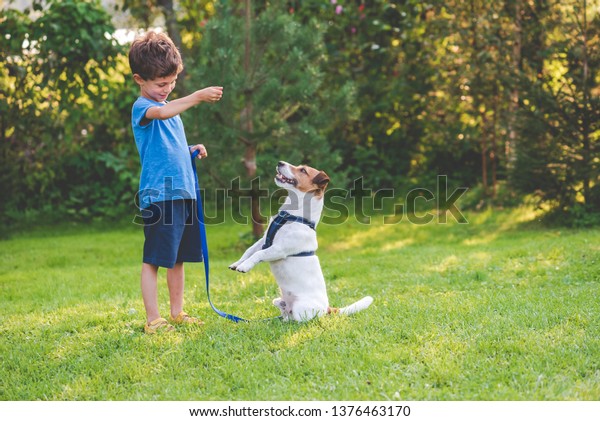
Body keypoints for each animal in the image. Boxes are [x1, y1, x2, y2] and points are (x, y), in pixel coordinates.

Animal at [229, 161, 372, 322]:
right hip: (278, 300)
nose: (280, 163)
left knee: (299, 318)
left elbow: (259, 254)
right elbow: (249, 251)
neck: (290, 215)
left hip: (300, 308)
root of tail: (328, 308)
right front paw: (237, 263)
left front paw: (244, 266)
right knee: (284, 311)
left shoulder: (279, 249)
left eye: (303, 170)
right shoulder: (264, 240)